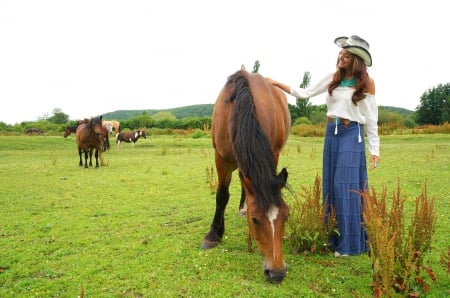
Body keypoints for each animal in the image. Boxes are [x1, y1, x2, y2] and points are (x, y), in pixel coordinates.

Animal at [201, 70, 292, 284]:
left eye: (286, 216)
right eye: (255, 219)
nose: (276, 273)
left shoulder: (273, 154)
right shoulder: (221, 159)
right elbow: (222, 196)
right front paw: (213, 234)